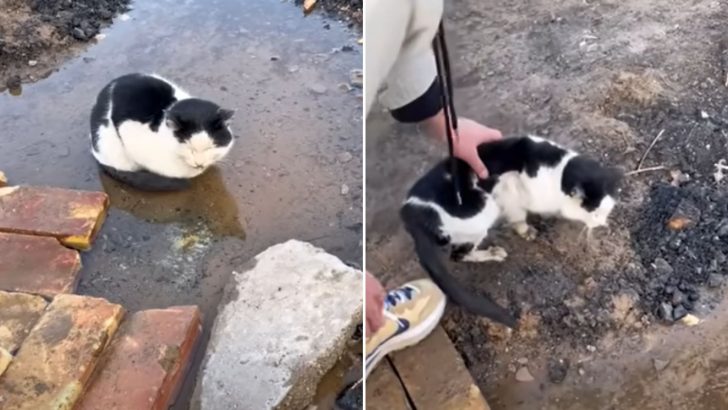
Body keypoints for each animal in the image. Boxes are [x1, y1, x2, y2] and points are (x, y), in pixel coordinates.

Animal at [400, 136, 624, 328]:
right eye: (594, 213)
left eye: (606, 212)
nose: (601, 224)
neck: (559, 174)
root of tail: (411, 212)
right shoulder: (511, 191)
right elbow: (519, 217)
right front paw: (526, 230)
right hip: (482, 211)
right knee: (458, 254)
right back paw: (493, 253)